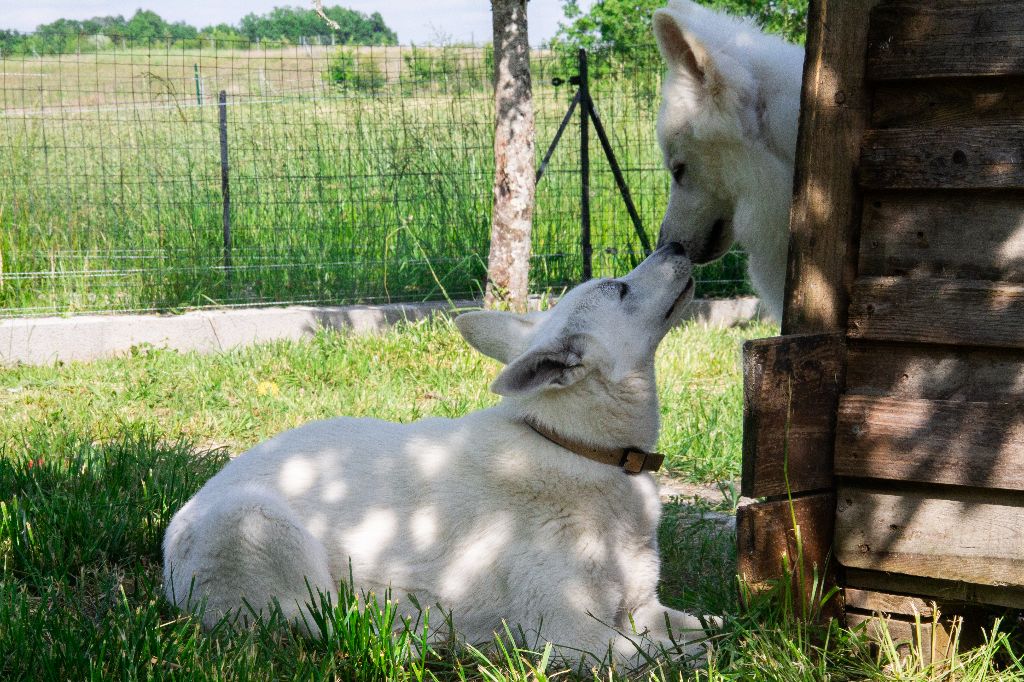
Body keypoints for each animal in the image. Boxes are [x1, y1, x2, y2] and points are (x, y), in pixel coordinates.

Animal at [163, 241, 716, 667]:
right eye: (620, 289)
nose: (677, 245)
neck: (577, 447)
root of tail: (170, 569)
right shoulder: (571, 636)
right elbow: (667, 654)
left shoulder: (643, 605)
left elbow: (706, 625)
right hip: (256, 521)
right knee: (314, 621)